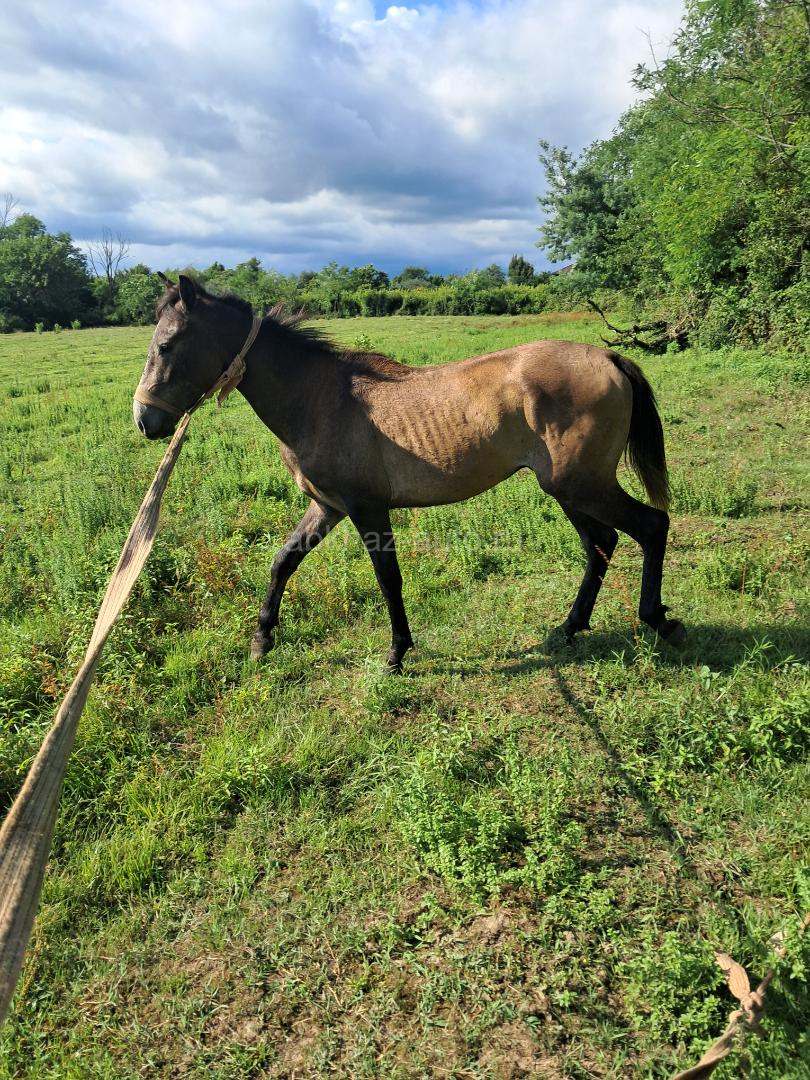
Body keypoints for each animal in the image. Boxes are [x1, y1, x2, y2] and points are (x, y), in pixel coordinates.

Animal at [133, 275, 685, 671]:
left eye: (168, 344)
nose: (145, 421)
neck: (319, 400)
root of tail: (609, 356)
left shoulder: (367, 509)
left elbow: (388, 578)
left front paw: (397, 653)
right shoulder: (327, 507)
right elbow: (283, 562)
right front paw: (262, 639)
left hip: (582, 485)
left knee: (650, 527)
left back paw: (655, 619)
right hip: (569, 490)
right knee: (603, 544)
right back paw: (570, 628)